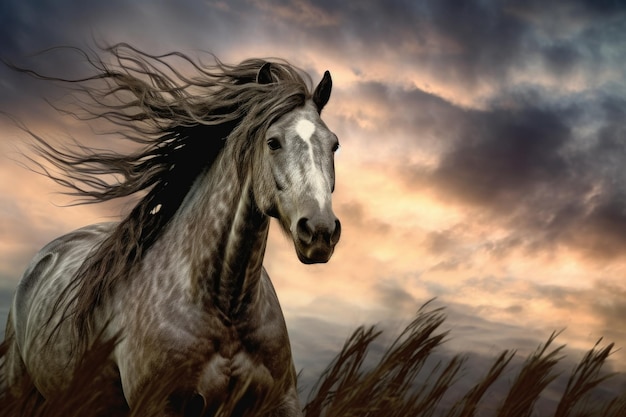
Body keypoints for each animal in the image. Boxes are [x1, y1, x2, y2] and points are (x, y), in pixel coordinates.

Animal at [1, 44, 342, 414]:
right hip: (18, 386)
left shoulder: (281, 401)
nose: (320, 232)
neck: (226, 306)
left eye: (334, 144)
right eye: (273, 142)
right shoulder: (157, 405)